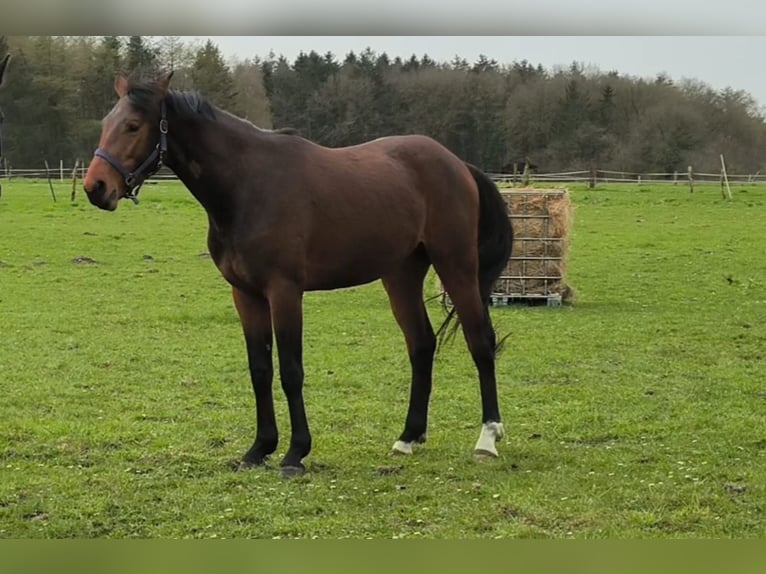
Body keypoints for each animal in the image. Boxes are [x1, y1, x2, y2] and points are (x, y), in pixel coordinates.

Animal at [84, 70, 516, 480]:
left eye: (133, 125)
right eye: (106, 122)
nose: (95, 187)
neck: (247, 185)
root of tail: (457, 163)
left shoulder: (285, 291)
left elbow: (291, 371)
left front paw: (295, 453)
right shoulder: (246, 294)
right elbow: (260, 369)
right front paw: (259, 449)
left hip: (457, 266)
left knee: (480, 342)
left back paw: (487, 438)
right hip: (401, 275)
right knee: (422, 345)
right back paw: (408, 437)